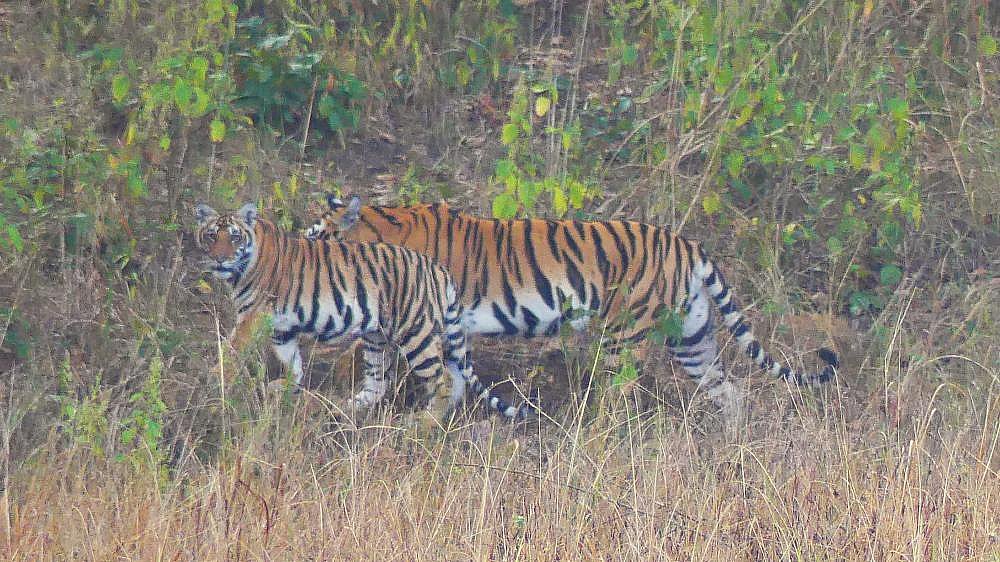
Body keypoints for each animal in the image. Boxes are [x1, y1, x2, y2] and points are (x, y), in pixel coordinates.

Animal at [194, 202, 534, 420]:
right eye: (211, 235)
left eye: (234, 236)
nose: (220, 259)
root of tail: (439, 269)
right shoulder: (281, 328)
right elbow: (294, 364)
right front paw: (286, 389)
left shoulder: (253, 317)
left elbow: (231, 351)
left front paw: (214, 385)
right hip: (378, 336)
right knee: (381, 381)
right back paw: (346, 408)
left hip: (416, 333)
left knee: (443, 381)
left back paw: (423, 423)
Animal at [304, 194, 839, 422]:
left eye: (316, 235)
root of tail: (687, 245)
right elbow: (391, 366)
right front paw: (363, 404)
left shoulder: (417, 317)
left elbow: (424, 370)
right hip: (690, 335)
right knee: (728, 391)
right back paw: (733, 440)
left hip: (625, 332)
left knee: (621, 392)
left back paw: (597, 432)